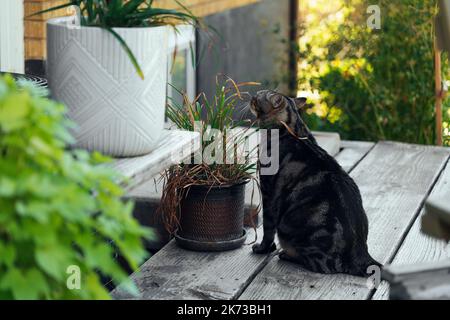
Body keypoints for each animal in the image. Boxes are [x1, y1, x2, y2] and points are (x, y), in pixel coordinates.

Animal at [251, 89, 382, 276]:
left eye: (257, 98)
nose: (251, 96)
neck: (292, 129)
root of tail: (361, 253)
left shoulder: (268, 193)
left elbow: (267, 230)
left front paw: (262, 249)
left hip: (296, 234)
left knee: (319, 265)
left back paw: (287, 254)